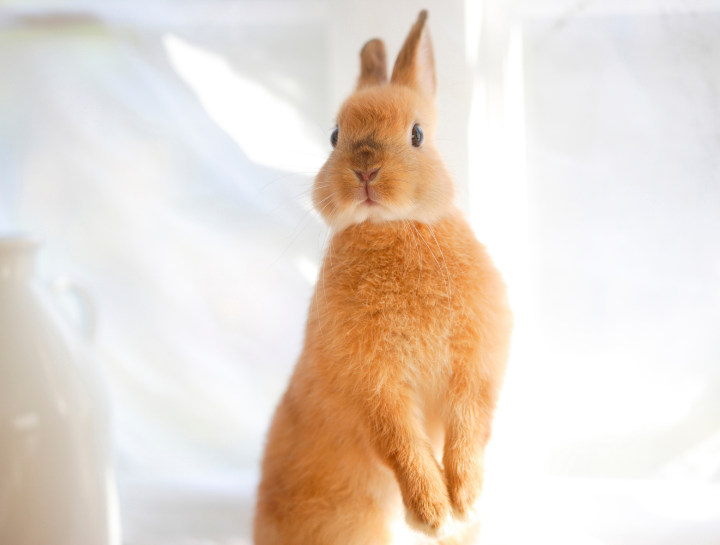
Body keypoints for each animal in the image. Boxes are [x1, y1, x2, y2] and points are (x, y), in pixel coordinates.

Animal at [254, 10, 512, 545]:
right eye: (335, 135)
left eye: (416, 135)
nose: (365, 170)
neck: (391, 227)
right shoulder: (374, 386)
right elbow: (401, 443)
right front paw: (432, 513)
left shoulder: (476, 365)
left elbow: (469, 428)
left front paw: (465, 501)